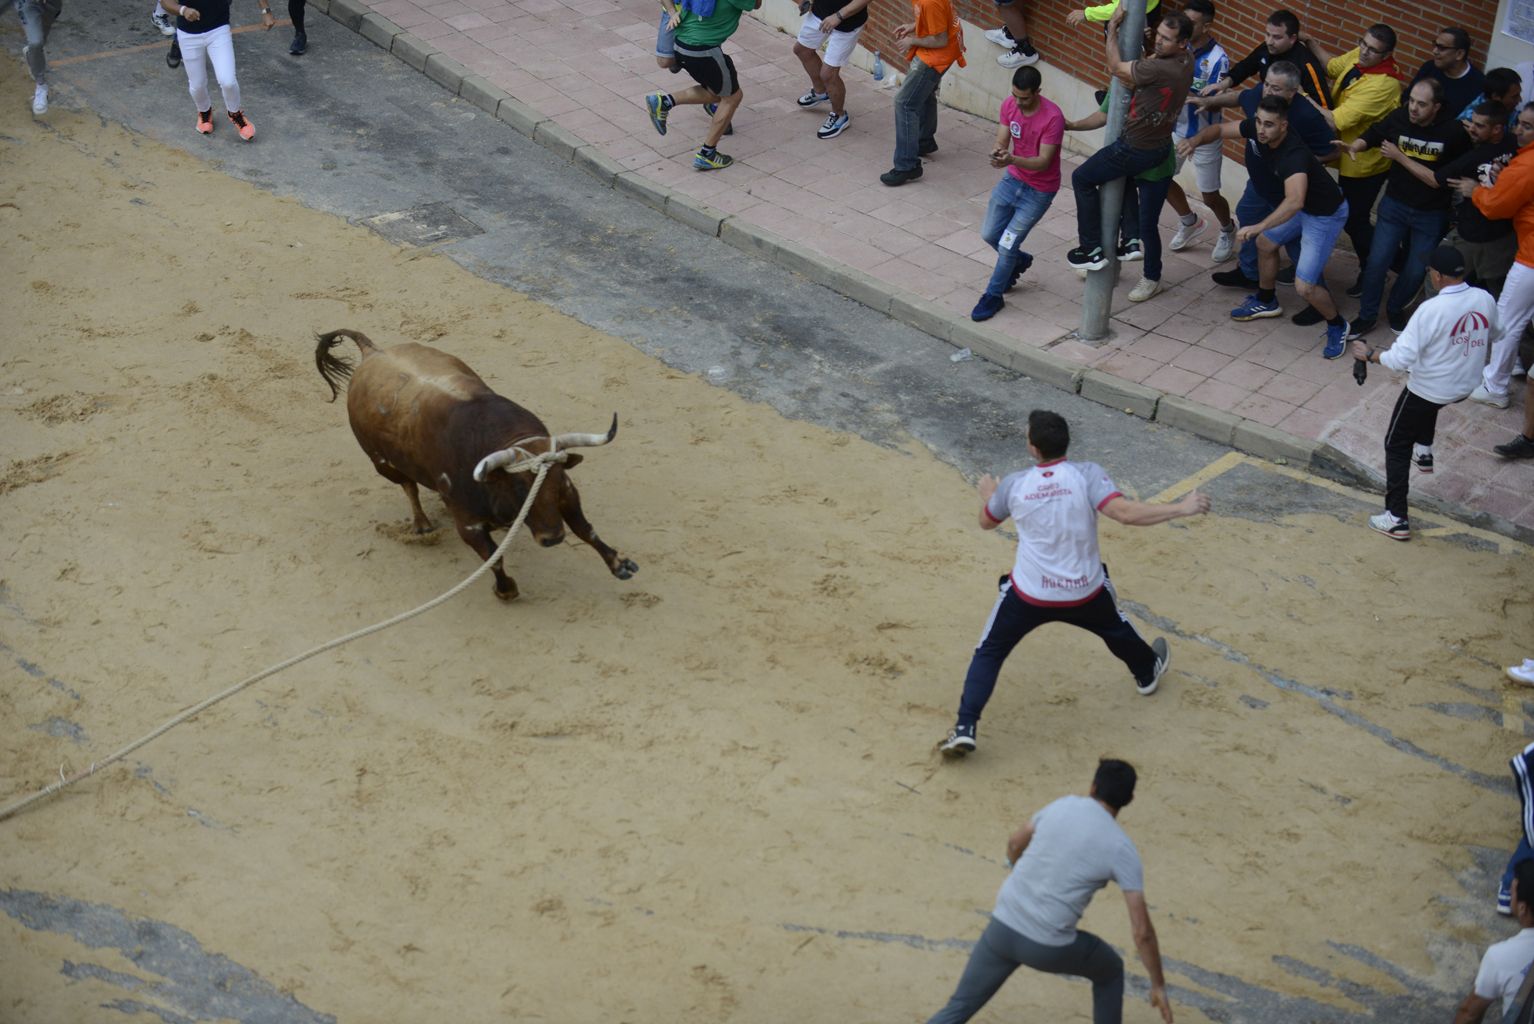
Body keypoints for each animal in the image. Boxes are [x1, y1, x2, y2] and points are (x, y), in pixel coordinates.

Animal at [314, 328, 638, 600]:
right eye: (520, 489)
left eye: (556, 480)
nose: (554, 538)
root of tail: (372, 352)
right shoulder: (467, 523)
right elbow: (493, 558)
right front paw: (506, 590)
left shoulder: (568, 492)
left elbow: (586, 529)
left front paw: (619, 564)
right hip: (382, 463)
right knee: (408, 486)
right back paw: (422, 525)